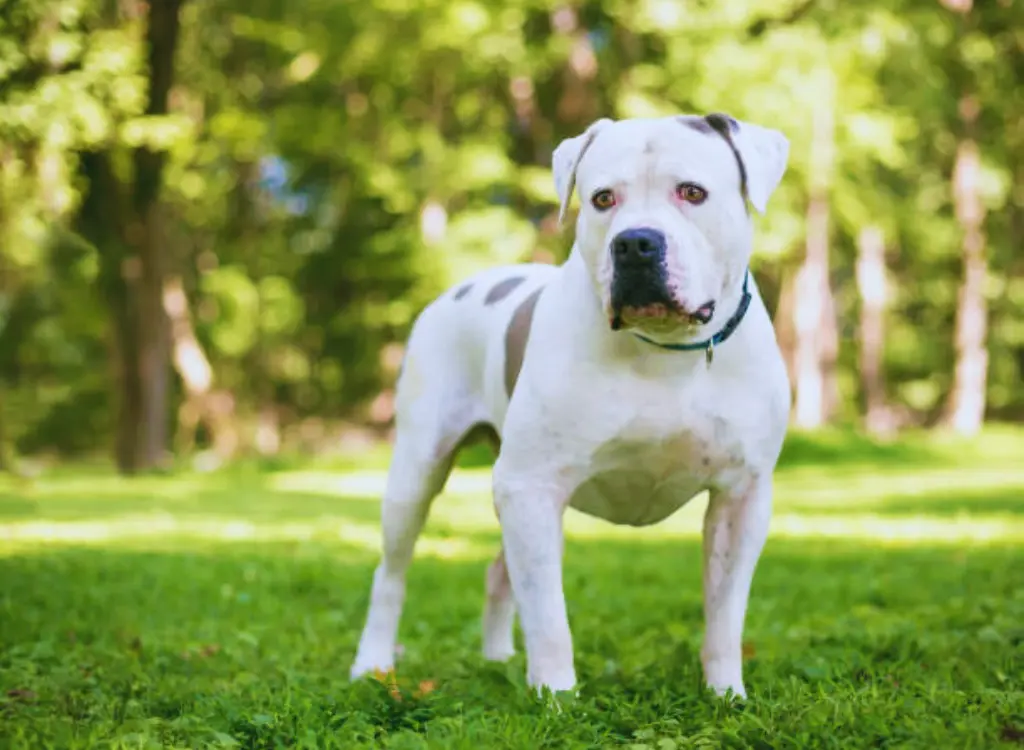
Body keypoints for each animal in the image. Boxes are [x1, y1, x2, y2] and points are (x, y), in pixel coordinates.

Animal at [352, 111, 790, 696]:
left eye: (692, 192)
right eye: (602, 198)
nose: (635, 243)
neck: (665, 349)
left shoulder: (741, 496)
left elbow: (725, 614)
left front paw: (726, 694)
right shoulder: (531, 486)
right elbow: (548, 616)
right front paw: (557, 696)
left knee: (499, 572)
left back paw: (496, 658)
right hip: (420, 470)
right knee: (392, 572)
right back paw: (373, 663)